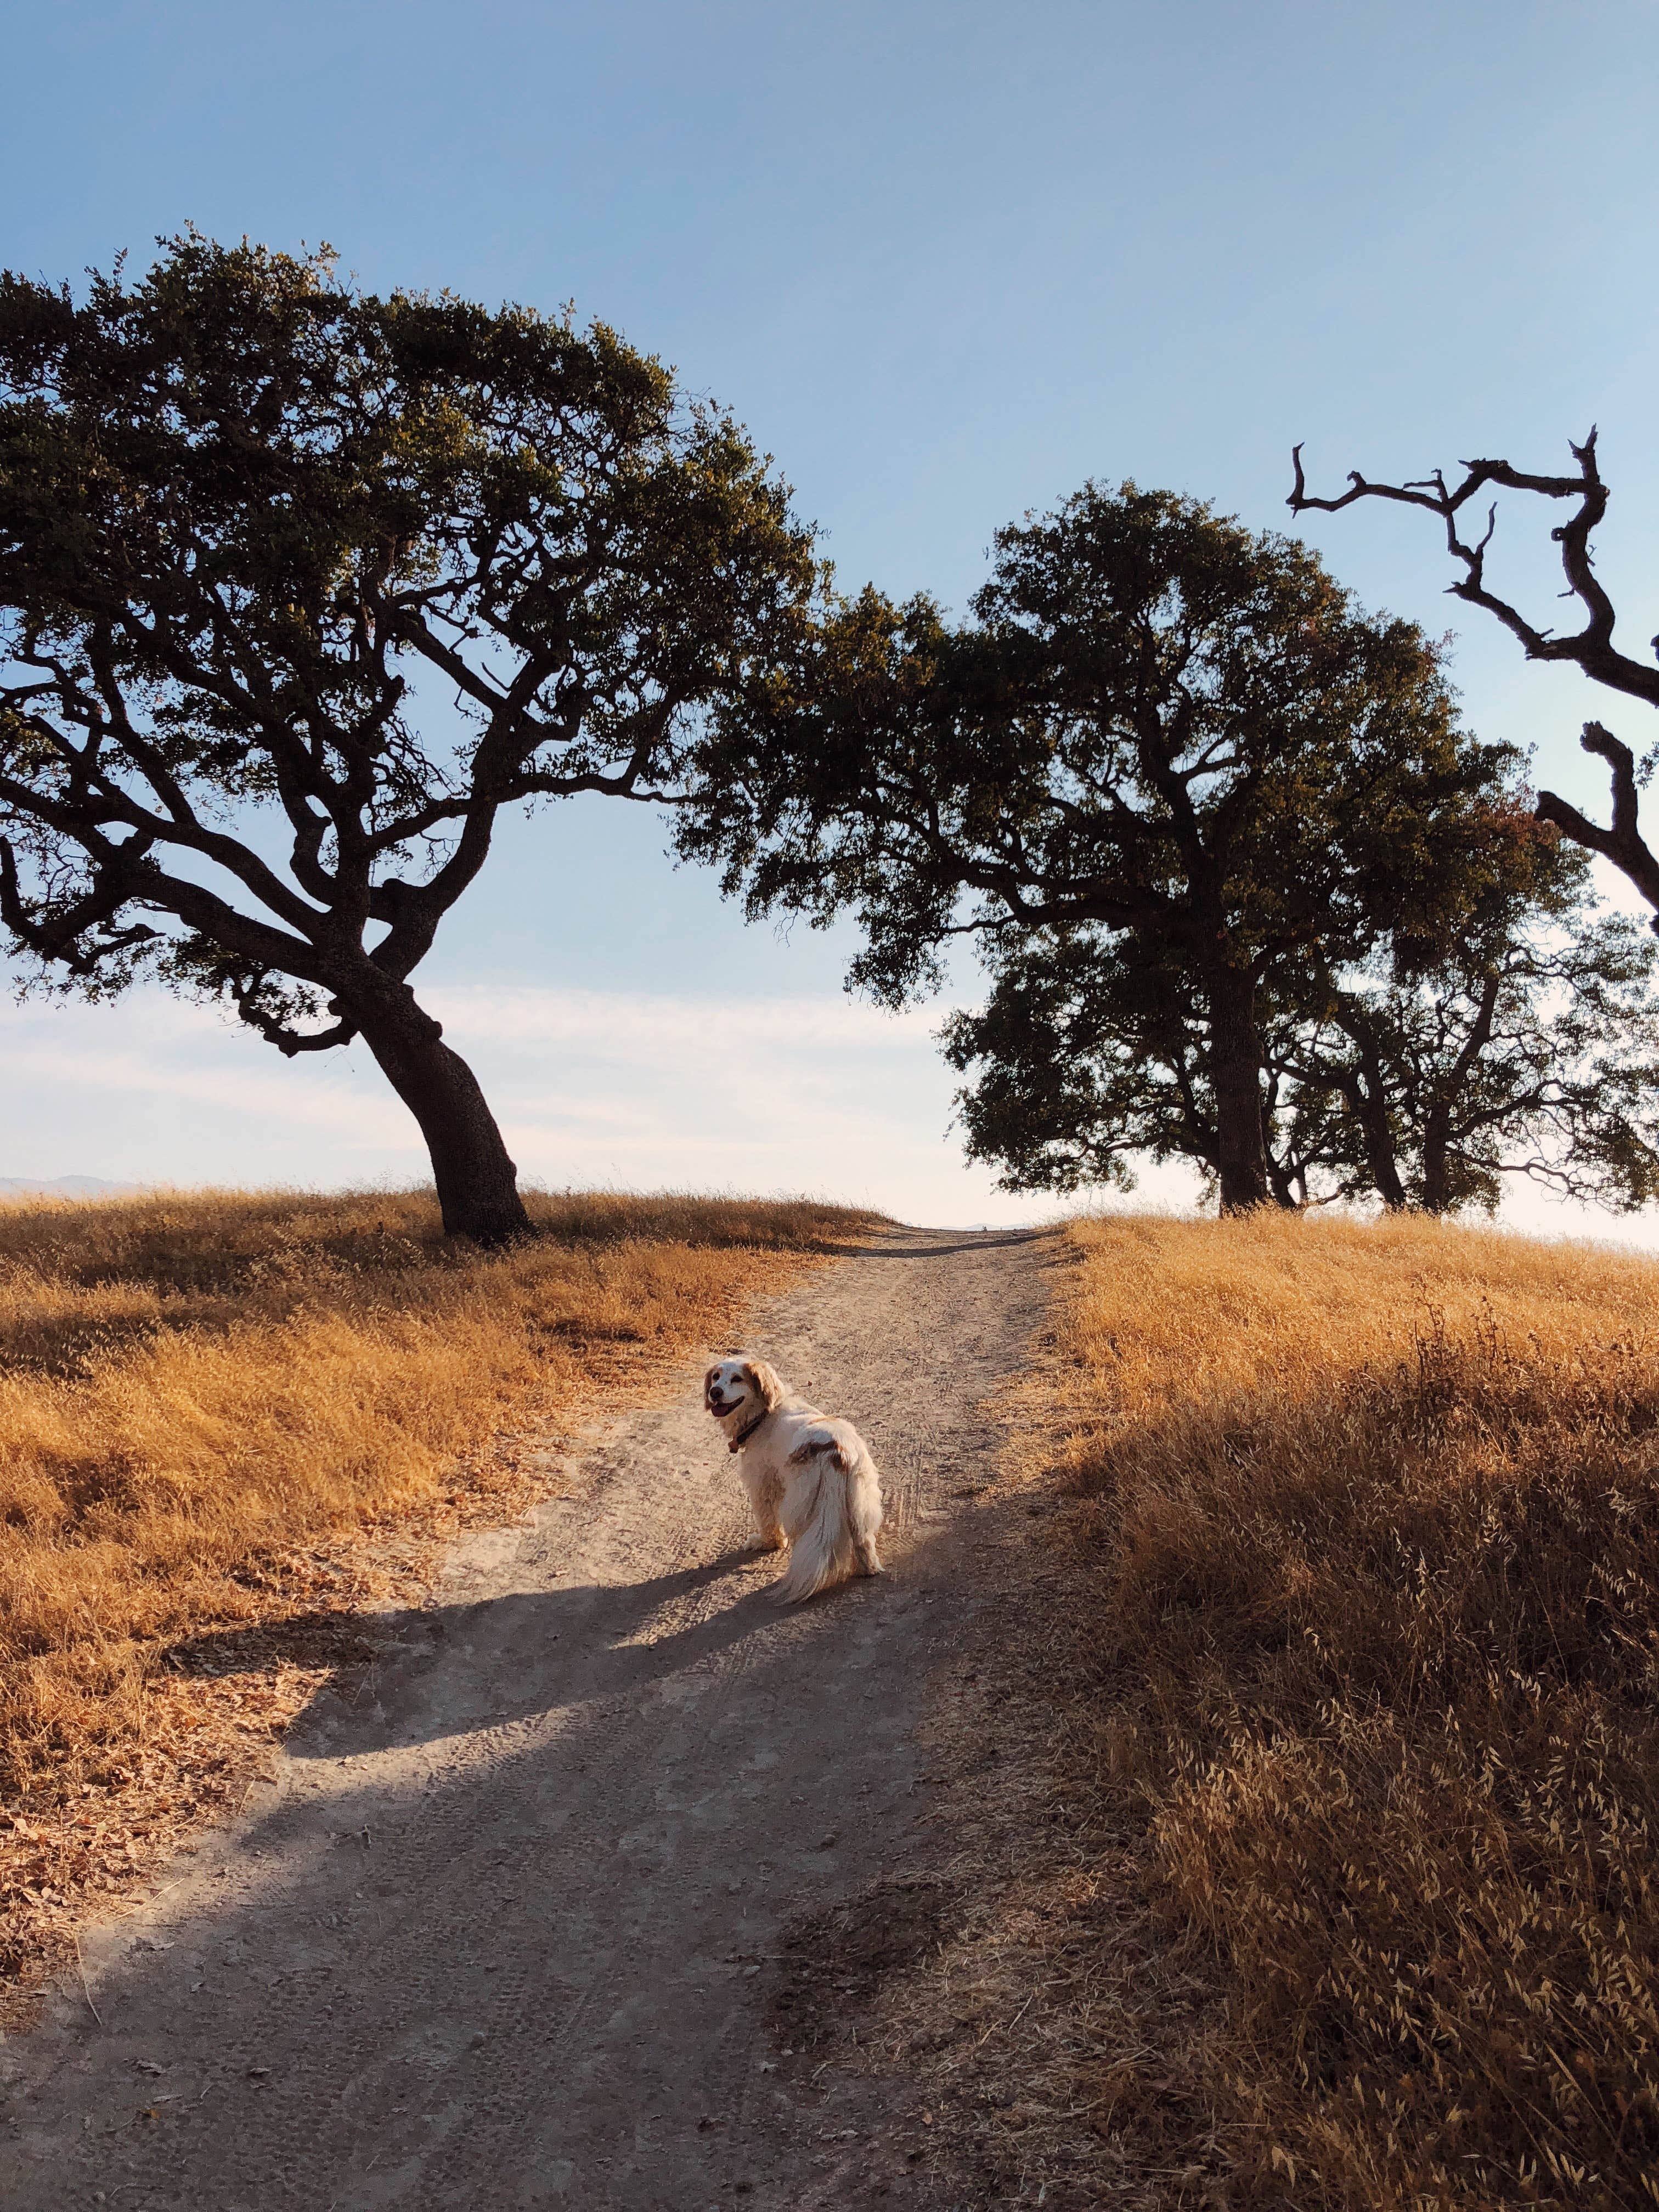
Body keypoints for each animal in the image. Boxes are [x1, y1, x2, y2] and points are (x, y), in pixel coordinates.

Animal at [708, 1353, 889, 1601]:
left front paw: (767, 1544)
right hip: (860, 1504)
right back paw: (867, 1570)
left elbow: (768, 1522)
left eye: (737, 1379)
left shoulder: (762, 1485)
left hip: (800, 1505)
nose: (714, 1392)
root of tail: (835, 1450)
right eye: (716, 1377)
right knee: (864, 1542)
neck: (765, 1416)